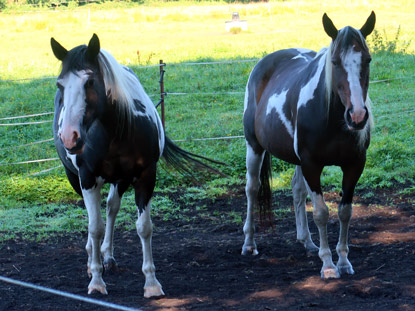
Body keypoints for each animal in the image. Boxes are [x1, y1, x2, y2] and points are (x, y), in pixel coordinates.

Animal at [50, 33, 223, 298]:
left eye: (89, 82)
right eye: (60, 84)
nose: (69, 136)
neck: (114, 132)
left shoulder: (145, 176)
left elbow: (144, 227)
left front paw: (151, 283)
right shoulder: (88, 178)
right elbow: (95, 227)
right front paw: (97, 281)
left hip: (120, 180)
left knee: (111, 207)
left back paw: (107, 256)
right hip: (76, 179)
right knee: (94, 220)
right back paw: (92, 261)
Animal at [244, 12, 376, 280]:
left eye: (367, 59)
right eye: (335, 62)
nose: (357, 116)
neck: (332, 120)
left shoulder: (354, 165)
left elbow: (344, 212)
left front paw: (343, 261)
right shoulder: (312, 164)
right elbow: (321, 213)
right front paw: (328, 265)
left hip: (296, 160)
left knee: (297, 190)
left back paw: (306, 241)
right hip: (254, 147)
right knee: (251, 189)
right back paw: (249, 243)